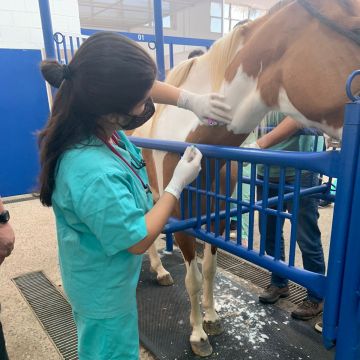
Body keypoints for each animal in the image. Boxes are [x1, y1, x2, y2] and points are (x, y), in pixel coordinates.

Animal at [132, 0, 360, 354]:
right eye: (355, 28)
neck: (195, 141)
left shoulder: (217, 219)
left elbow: (209, 271)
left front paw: (212, 319)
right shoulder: (182, 221)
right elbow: (192, 280)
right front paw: (198, 335)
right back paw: (159, 271)